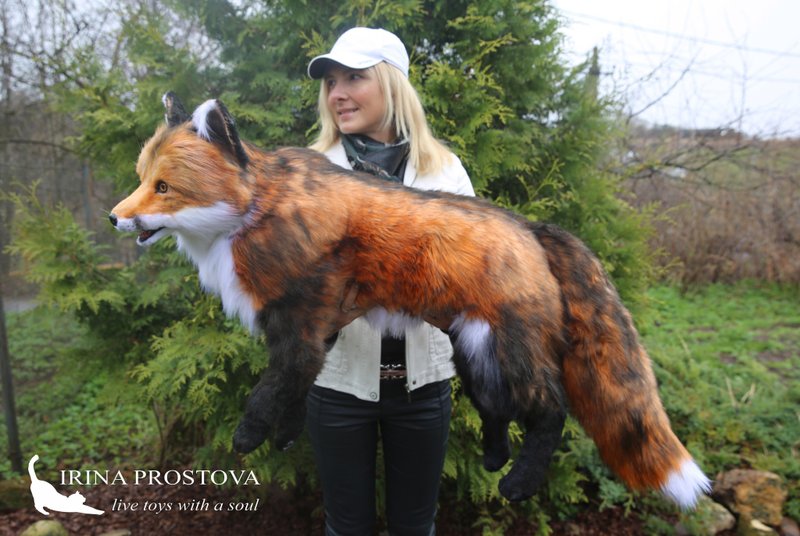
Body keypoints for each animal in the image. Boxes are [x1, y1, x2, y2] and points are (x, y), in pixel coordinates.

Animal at [110, 92, 711, 508]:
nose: (114, 217)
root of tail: (533, 227)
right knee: (498, 414)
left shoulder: (303, 325)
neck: (262, 211)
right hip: (478, 359)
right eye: (141, 179)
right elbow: (294, 394)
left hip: (516, 356)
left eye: (164, 188)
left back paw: (518, 481)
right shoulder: (316, 332)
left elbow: (267, 395)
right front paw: (284, 436)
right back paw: (494, 458)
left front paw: (250, 436)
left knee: (551, 412)